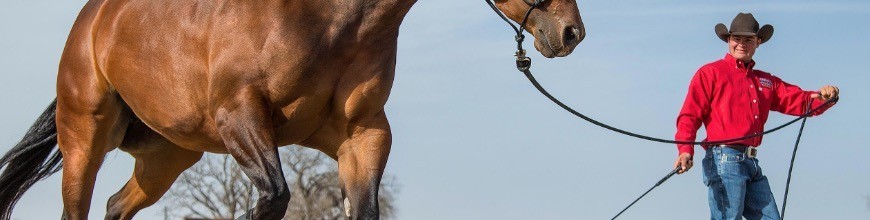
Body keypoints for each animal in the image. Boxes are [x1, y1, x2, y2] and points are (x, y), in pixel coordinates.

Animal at [0, 0, 584, 219]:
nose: (571, 32)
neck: (331, 17)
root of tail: (94, 21)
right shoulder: (242, 119)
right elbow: (275, 198)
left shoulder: (362, 135)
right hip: (85, 139)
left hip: (168, 157)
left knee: (117, 205)